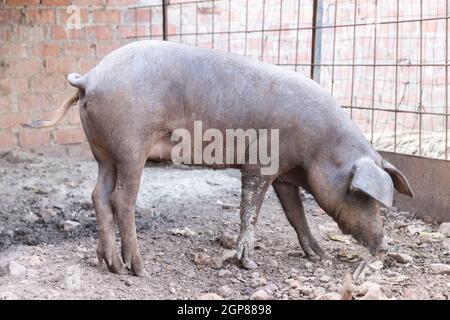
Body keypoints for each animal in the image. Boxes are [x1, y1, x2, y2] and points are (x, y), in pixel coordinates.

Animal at [25, 40, 414, 276]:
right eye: (364, 197)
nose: (384, 246)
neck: (319, 148)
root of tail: (90, 77)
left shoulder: (285, 175)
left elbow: (296, 215)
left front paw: (319, 255)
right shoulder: (260, 163)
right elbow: (250, 211)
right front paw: (250, 265)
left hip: (103, 152)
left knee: (98, 195)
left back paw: (111, 266)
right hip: (130, 145)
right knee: (122, 199)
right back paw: (139, 269)